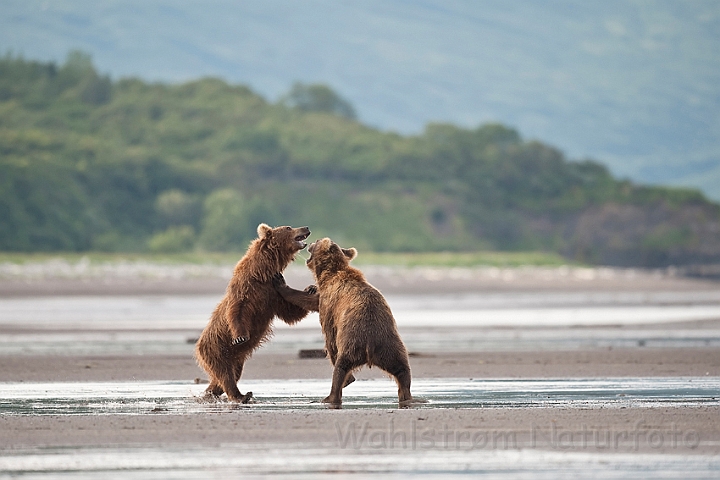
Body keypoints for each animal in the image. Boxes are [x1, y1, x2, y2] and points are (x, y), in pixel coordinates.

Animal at [194, 223, 312, 404]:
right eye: (288, 227)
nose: (306, 227)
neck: (262, 272)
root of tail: (199, 346)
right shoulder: (245, 288)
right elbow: (236, 311)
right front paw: (241, 337)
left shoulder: (273, 294)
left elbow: (290, 312)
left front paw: (310, 289)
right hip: (216, 348)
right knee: (225, 374)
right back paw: (240, 396)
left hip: (235, 358)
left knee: (227, 376)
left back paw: (211, 393)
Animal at [272, 238, 420, 406]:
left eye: (317, 241)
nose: (310, 241)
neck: (329, 274)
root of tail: (370, 347)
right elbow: (311, 300)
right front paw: (310, 287)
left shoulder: (329, 303)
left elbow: (326, 332)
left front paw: (280, 281)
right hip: (390, 347)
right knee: (402, 369)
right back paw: (406, 396)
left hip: (352, 342)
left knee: (340, 366)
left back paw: (332, 395)